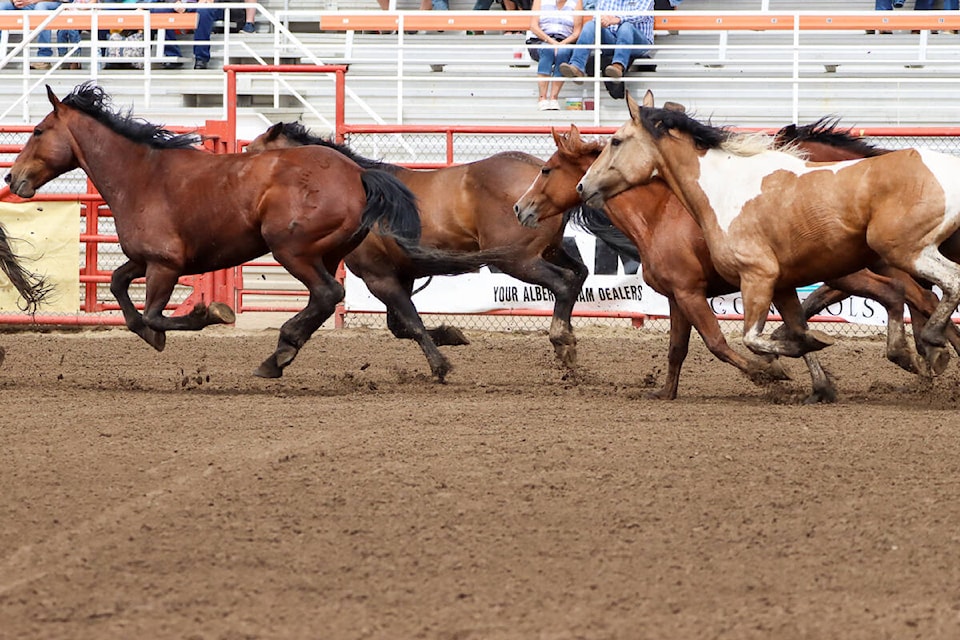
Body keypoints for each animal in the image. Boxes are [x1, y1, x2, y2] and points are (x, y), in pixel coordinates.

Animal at [3, 82, 492, 378]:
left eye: (39, 130)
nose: (13, 177)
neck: (142, 174)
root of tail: (357, 173)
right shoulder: (143, 260)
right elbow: (123, 291)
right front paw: (150, 334)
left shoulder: (164, 265)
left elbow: (154, 312)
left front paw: (209, 314)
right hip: (327, 253)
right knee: (339, 301)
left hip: (292, 250)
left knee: (329, 294)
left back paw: (280, 353)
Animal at [249, 122, 584, 378]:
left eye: (251, 152)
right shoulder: (403, 275)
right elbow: (400, 325)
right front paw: (452, 335)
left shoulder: (378, 277)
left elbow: (411, 322)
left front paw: (439, 366)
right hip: (548, 251)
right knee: (578, 275)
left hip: (518, 260)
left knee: (563, 282)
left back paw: (561, 341)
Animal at [516, 123, 960, 402]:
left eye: (546, 169)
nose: (521, 208)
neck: (658, 214)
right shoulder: (679, 297)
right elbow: (678, 348)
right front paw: (665, 392)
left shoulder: (691, 292)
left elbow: (718, 342)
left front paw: (771, 375)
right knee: (908, 295)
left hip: (855, 270)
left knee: (906, 294)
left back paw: (923, 354)